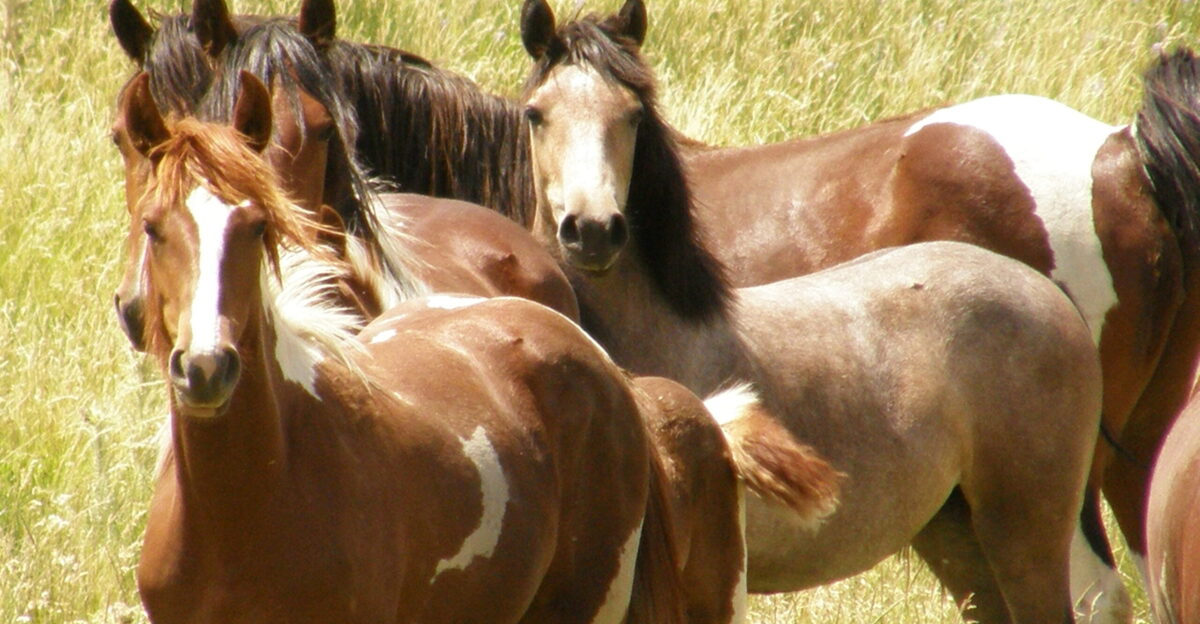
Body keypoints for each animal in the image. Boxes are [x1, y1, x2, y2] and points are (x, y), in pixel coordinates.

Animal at [519, 4, 1118, 622]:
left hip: (1026, 538)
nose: (593, 231)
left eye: (633, 116)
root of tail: (1052, 297)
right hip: (958, 536)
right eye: (536, 114)